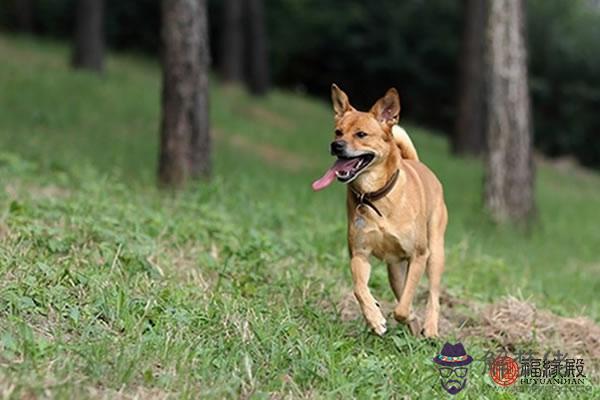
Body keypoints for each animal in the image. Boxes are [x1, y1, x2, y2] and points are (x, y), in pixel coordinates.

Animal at [314, 84, 446, 338]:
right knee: (402, 291)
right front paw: (374, 318)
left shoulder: (419, 255)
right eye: (338, 132)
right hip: (395, 270)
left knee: (433, 296)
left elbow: (402, 308)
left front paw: (403, 315)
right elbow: (359, 288)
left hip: (435, 253)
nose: (336, 146)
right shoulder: (359, 254)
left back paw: (431, 329)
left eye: (361, 134)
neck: (375, 196)